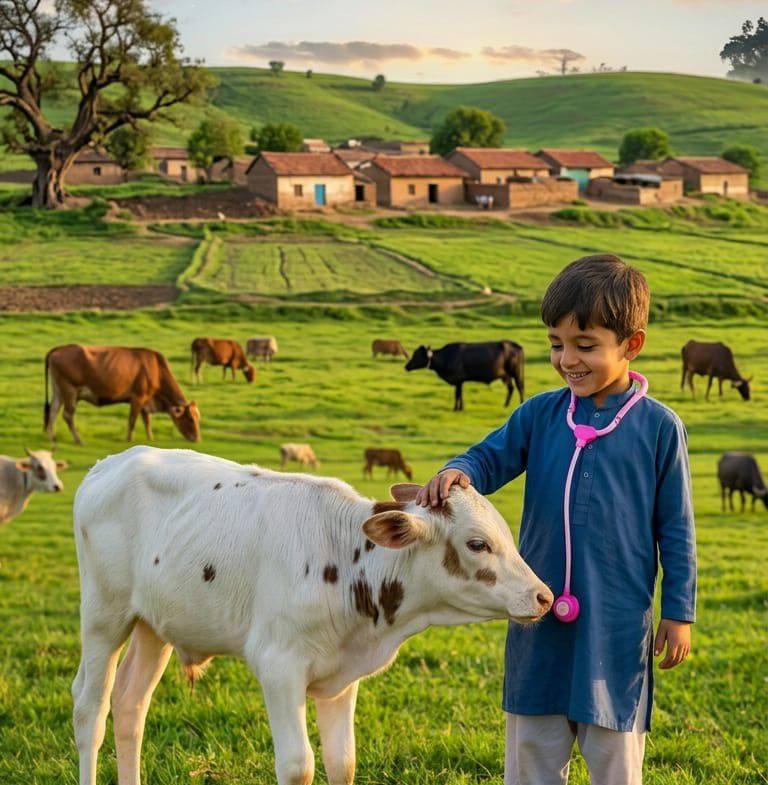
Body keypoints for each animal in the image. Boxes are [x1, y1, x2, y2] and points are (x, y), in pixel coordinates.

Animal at [44, 344, 201, 445]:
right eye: (191, 419)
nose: (198, 439)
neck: (156, 368)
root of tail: (59, 348)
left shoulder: (145, 401)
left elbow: (147, 421)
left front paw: (150, 438)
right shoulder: (138, 397)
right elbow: (132, 420)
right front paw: (128, 440)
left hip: (58, 392)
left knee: (53, 412)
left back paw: (52, 438)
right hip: (70, 391)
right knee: (67, 415)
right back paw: (79, 440)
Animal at [72, 445, 553, 785]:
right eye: (477, 544)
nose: (544, 596)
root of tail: (109, 463)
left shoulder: (343, 677)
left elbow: (343, 762)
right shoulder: (278, 666)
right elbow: (297, 765)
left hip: (155, 624)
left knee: (130, 706)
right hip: (103, 615)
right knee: (90, 710)